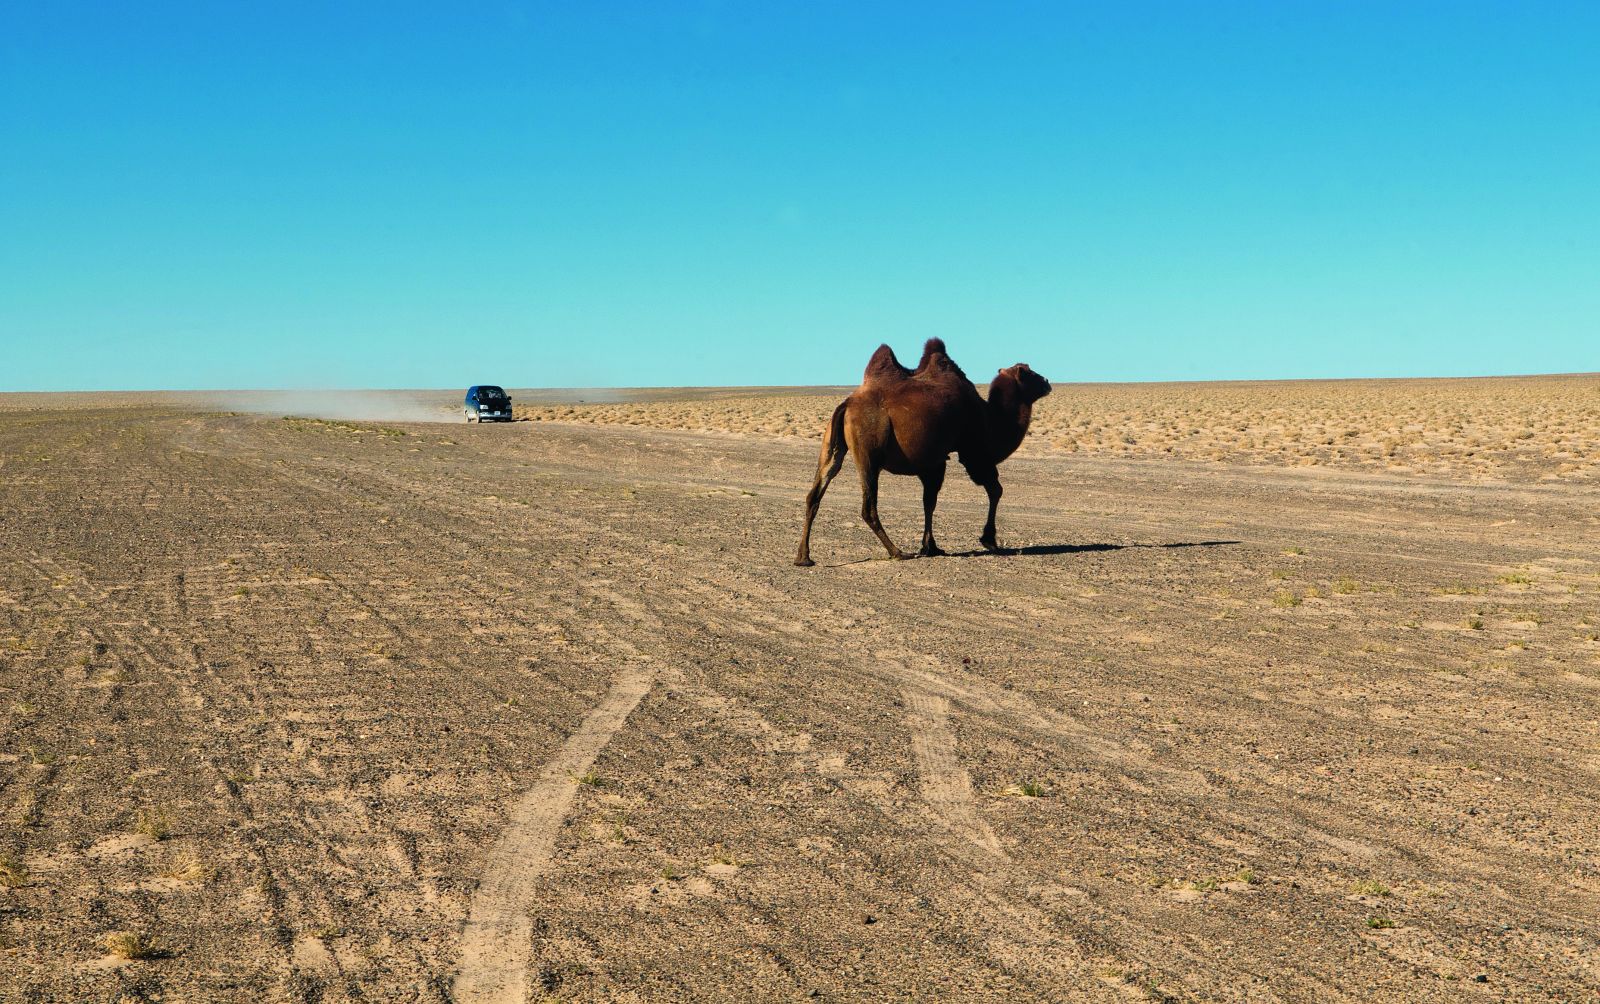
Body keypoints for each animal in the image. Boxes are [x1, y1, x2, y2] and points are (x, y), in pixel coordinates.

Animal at [796, 340, 1049, 565]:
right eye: (1029, 372)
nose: (1047, 381)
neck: (989, 416)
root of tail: (847, 404)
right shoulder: (972, 452)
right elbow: (994, 490)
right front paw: (988, 540)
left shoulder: (933, 461)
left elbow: (929, 501)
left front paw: (931, 547)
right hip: (869, 449)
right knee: (868, 506)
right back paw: (897, 552)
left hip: (832, 443)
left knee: (816, 492)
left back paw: (803, 557)